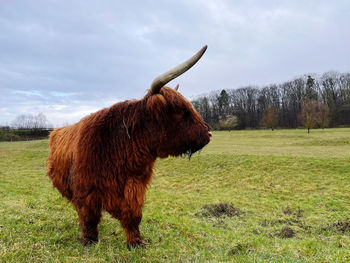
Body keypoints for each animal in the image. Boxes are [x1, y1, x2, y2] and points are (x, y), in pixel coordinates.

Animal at [46, 46, 211, 250]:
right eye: (181, 112)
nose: (208, 133)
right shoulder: (86, 190)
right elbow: (89, 217)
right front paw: (89, 241)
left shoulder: (134, 186)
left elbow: (133, 216)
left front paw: (136, 243)